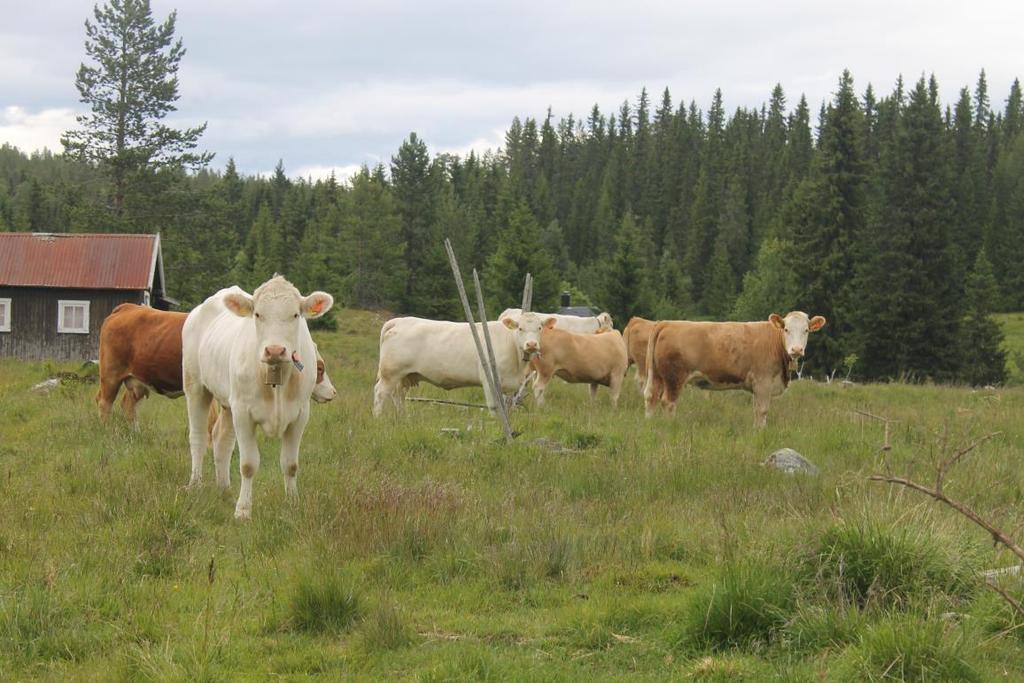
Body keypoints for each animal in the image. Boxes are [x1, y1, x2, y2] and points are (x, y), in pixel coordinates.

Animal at [180, 276, 331, 518]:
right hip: (195, 386)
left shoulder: (300, 415)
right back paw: (195, 485)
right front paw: (243, 510)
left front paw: (292, 503)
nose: (275, 350)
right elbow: (248, 465)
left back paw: (224, 490)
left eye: (295, 315)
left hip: (228, 402)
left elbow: (290, 464)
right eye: (258, 314)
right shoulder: (244, 413)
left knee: (222, 440)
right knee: (198, 438)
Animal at [374, 311, 557, 417]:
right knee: (380, 393)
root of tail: (399, 321)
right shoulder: (490, 379)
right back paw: (378, 418)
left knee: (398, 396)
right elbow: (495, 406)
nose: (531, 344)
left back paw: (402, 417)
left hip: (405, 376)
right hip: (390, 373)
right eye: (520, 328)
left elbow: (507, 406)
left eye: (540, 328)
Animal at [643, 311, 827, 428]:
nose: (796, 349)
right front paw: (760, 433)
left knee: (651, 397)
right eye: (786, 329)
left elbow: (756, 411)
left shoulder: (759, 387)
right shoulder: (763, 382)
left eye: (806, 330)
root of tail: (667, 322)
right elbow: (762, 411)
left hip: (657, 376)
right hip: (674, 377)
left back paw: (650, 425)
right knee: (668, 402)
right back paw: (670, 427)